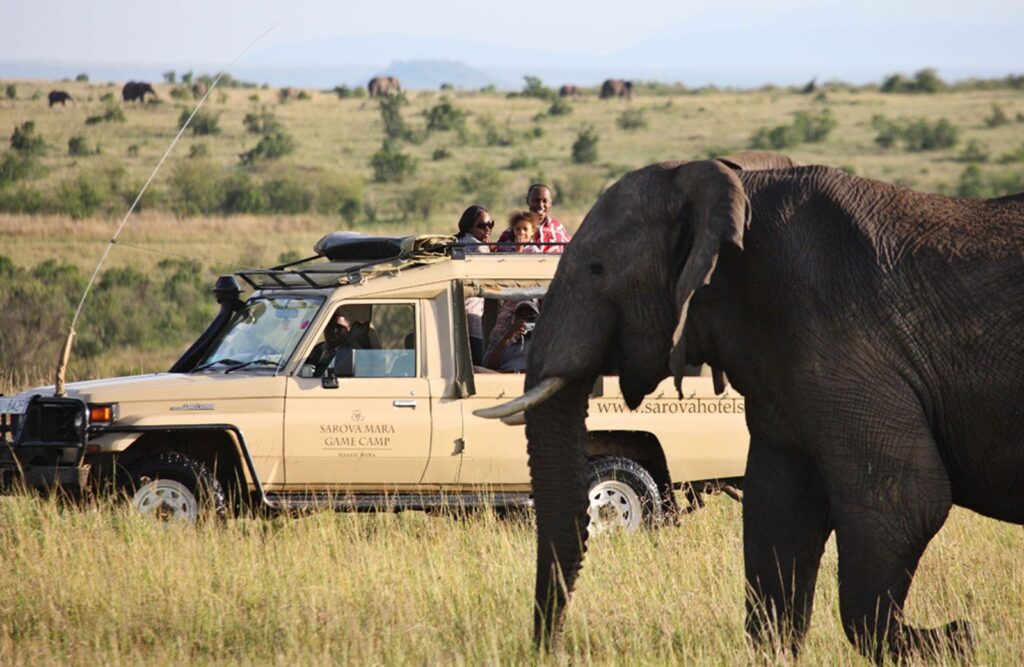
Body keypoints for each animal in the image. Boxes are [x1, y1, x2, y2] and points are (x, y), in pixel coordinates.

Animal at [479, 152, 1024, 663]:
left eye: (596, 268)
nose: (549, 648)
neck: (735, 194)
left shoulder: (845, 340)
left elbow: (905, 499)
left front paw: (955, 641)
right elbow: (776, 513)